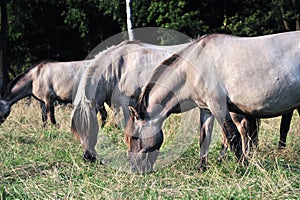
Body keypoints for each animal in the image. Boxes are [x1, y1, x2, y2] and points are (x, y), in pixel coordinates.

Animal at [125, 30, 300, 172]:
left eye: (134, 138)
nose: (135, 168)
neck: (192, 68)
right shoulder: (206, 109)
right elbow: (204, 139)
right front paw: (202, 168)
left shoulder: (218, 106)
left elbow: (232, 136)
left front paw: (244, 166)